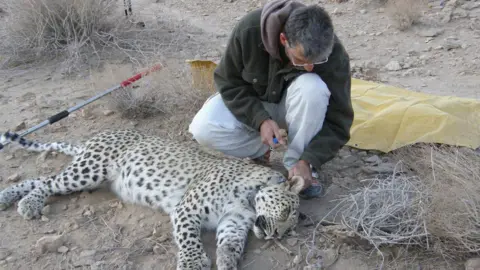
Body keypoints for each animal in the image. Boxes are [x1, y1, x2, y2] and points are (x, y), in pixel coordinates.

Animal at [0, 130, 306, 268]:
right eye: (285, 213)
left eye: (288, 230)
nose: (275, 236)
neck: (248, 201)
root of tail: (97, 136)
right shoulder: (187, 208)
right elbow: (189, 239)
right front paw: (193, 262)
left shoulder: (233, 223)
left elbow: (231, 245)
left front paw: (227, 262)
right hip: (90, 170)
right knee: (48, 182)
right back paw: (28, 203)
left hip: (87, 174)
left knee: (40, 179)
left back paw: (8, 196)